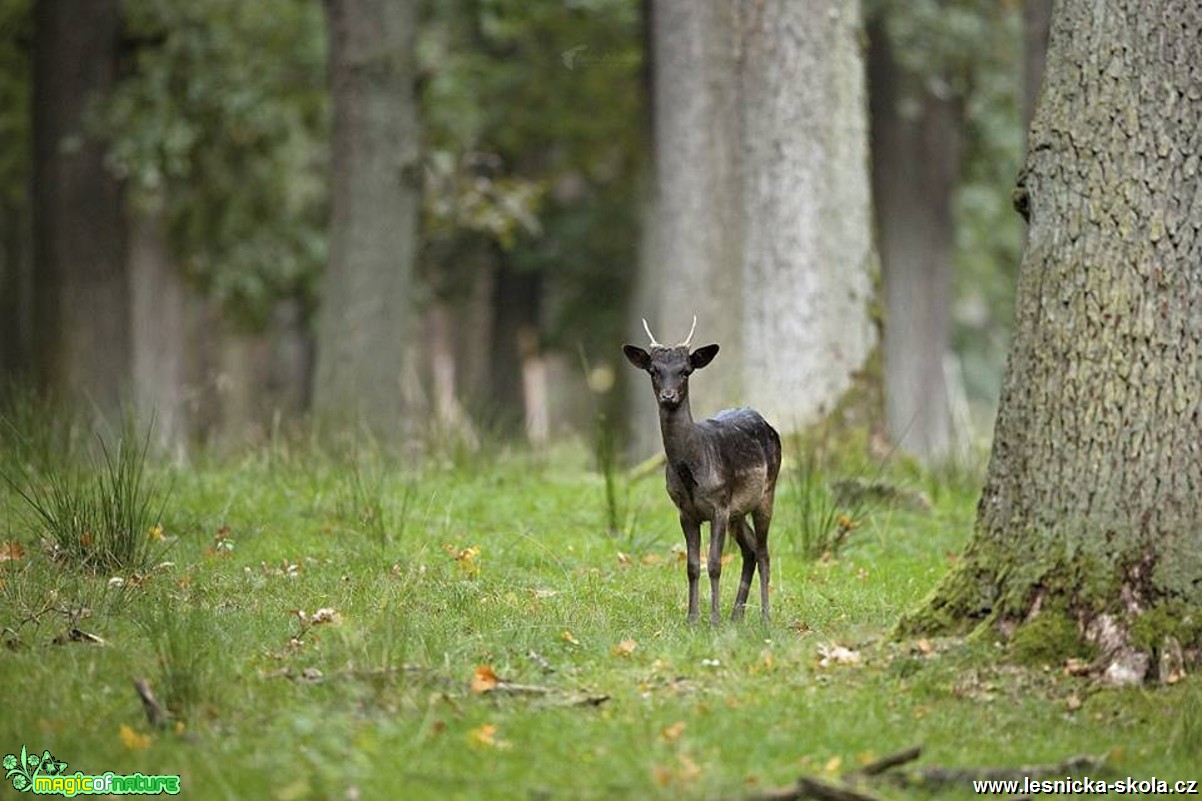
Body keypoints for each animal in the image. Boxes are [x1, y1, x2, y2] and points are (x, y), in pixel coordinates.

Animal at [625, 315, 783, 620]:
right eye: (653, 370)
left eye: (686, 371)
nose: (669, 396)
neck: (692, 469)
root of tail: (769, 425)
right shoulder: (685, 511)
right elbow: (692, 566)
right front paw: (692, 618)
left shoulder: (719, 505)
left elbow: (714, 564)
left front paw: (714, 620)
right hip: (738, 510)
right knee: (750, 550)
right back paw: (737, 615)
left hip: (767, 492)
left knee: (763, 551)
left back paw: (764, 616)